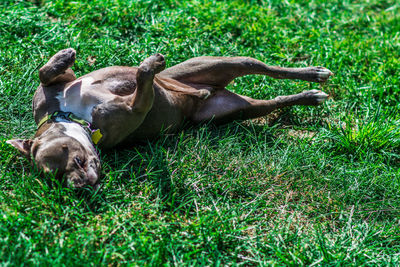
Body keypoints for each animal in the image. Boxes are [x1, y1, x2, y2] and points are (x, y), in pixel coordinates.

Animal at [7, 48, 332, 188]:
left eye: (69, 153)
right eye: (55, 177)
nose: (79, 185)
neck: (72, 116)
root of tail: (215, 90)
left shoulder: (60, 87)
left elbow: (45, 71)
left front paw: (63, 55)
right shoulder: (137, 108)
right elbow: (142, 78)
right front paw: (149, 65)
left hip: (216, 63)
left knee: (260, 66)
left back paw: (314, 74)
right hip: (238, 109)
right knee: (272, 102)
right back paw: (310, 95)